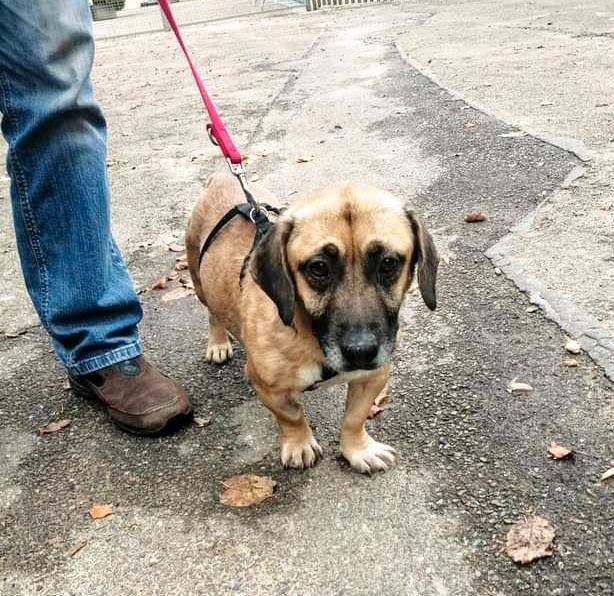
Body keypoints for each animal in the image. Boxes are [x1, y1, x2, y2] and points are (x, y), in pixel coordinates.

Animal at [185, 172, 440, 474]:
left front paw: (358, 450)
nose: (361, 351)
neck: (311, 338)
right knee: (213, 312)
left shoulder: (373, 376)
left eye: (388, 262)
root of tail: (222, 176)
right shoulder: (267, 387)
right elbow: (292, 416)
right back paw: (218, 342)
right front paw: (299, 444)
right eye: (318, 267)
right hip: (199, 282)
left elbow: (354, 418)